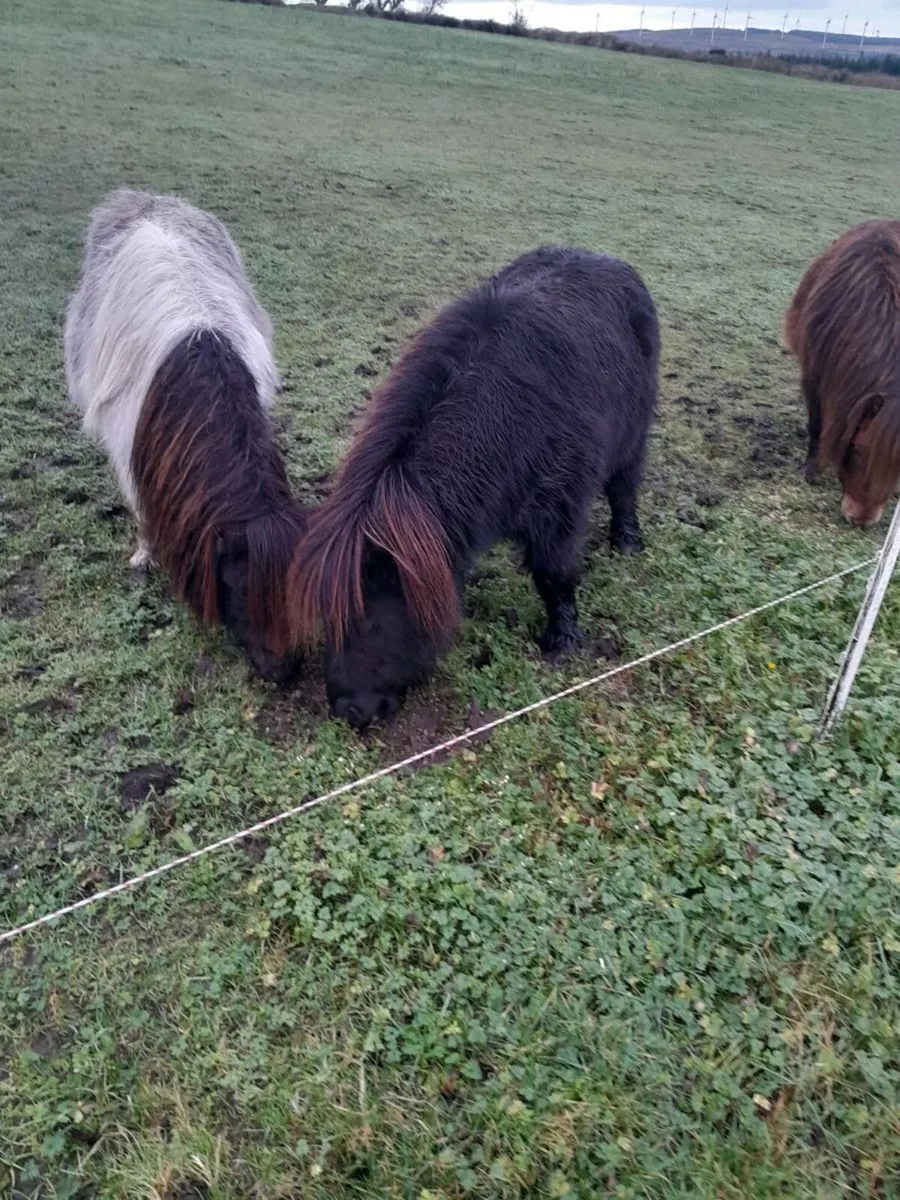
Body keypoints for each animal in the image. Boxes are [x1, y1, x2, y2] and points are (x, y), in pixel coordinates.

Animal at [288, 245, 660, 729]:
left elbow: (555, 574)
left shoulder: (561, 506)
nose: (352, 711)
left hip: (634, 433)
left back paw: (627, 542)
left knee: (624, 488)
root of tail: (607, 260)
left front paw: (562, 641)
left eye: (369, 619)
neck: (502, 426)